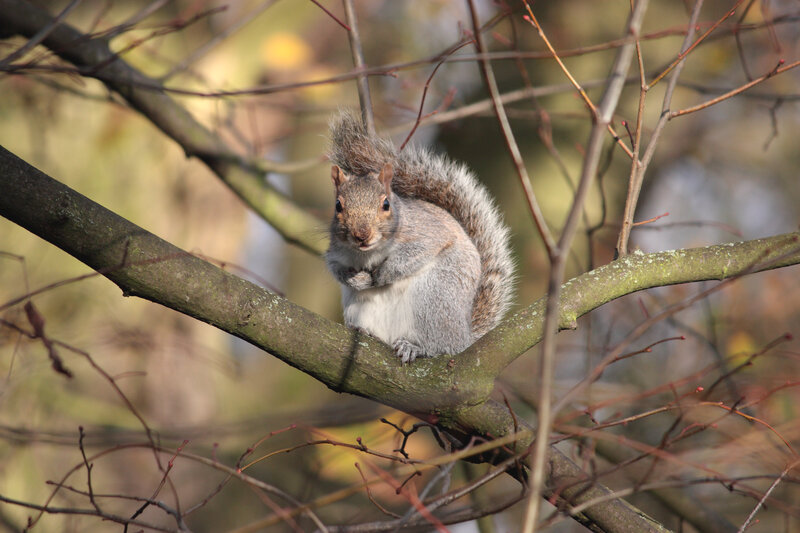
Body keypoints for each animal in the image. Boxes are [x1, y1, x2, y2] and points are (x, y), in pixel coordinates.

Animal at [325, 111, 514, 363]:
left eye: (386, 204)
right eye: (338, 206)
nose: (361, 235)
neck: (368, 253)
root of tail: (465, 338)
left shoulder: (428, 234)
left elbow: (417, 253)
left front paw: (383, 273)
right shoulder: (335, 251)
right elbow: (334, 267)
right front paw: (357, 279)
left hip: (433, 299)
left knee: (440, 347)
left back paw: (415, 347)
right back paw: (365, 332)